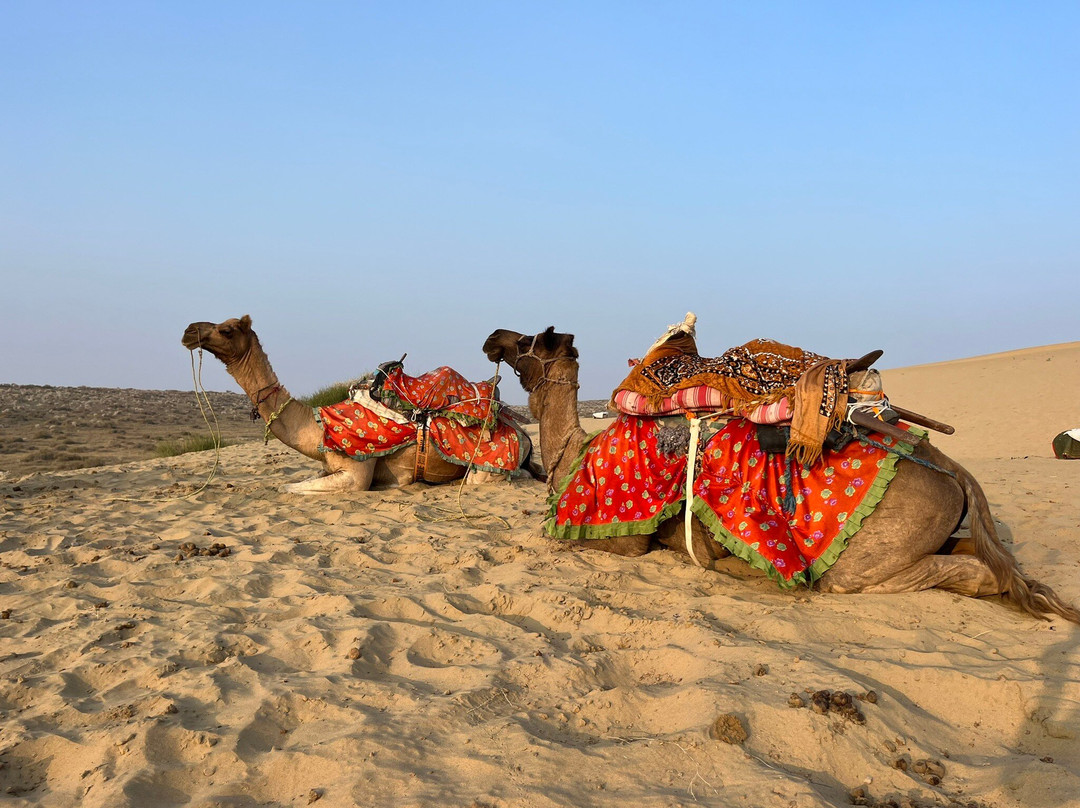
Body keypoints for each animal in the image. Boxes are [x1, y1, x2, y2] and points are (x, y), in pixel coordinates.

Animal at [182, 315, 520, 493]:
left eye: (226, 330)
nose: (189, 330)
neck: (318, 426)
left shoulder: (356, 474)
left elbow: (288, 487)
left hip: (485, 471)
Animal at [483, 326, 1080, 624]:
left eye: (532, 338)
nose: (493, 337)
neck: (574, 451)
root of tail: (952, 468)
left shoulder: (621, 531)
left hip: (861, 561)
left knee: (961, 573)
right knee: (985, 559)